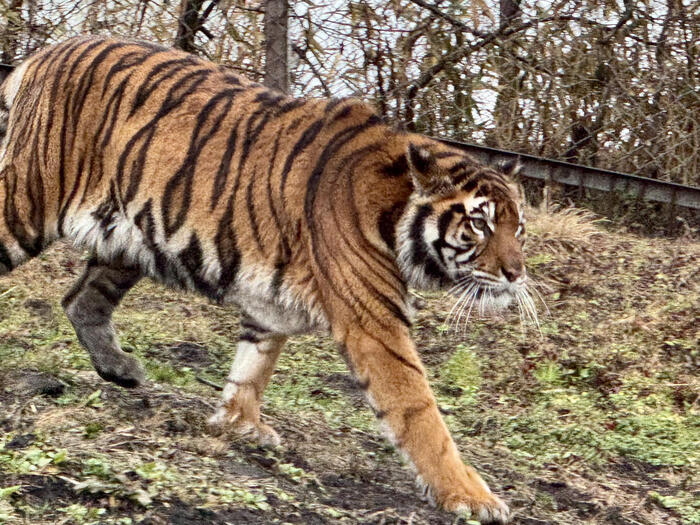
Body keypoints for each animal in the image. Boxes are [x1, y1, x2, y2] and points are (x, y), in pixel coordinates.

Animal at [0, 35, 532, 520]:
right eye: (480, 223)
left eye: (518, 227)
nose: (515, 273)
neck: (395, 210)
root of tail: (45, 53)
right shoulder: (374, 323)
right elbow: (420, 414)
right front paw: (472, 497)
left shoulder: (271, 302)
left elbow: (253, 365)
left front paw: (238, 423)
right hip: (29, 203)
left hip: (127, 238)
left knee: (79, 299)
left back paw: (120, 369)